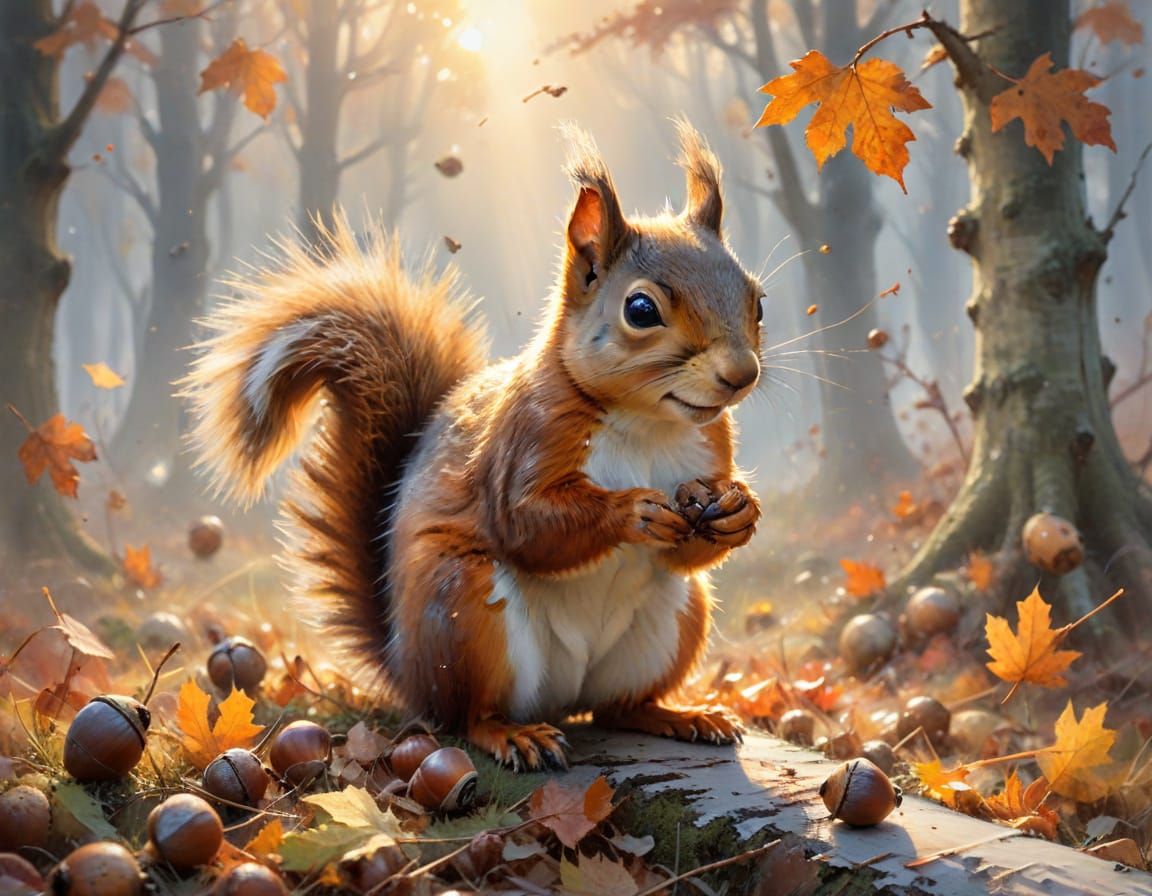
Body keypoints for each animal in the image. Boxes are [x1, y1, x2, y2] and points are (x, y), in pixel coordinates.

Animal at [183, 121, 763, 771]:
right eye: (640, 309)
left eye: (758, 301)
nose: (741, 374)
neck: (646, 423)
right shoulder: (524, 439)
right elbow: (526, 525)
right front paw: (631, 510)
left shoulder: (710, 448)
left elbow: (689, 545)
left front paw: (738, 511)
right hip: (463, 612)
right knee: (467, 714)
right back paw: (511, 734)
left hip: (676, 621)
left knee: (618, 707)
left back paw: (679, 715)